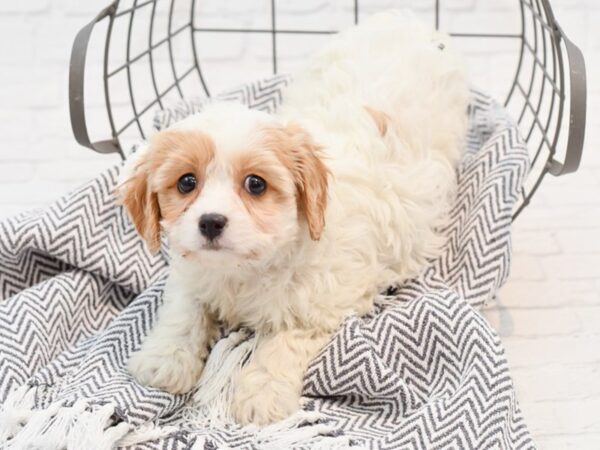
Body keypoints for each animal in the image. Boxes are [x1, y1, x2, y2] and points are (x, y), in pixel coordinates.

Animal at [120, 10, 468, 426]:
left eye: (255, 184)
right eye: (187, 182)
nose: (211, 222)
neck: (244, 271)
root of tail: (401, 19)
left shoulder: (321, 301)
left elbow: (284, 341)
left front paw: (261, 394)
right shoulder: (192, 272)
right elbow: (184, 308)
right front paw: (165, 359)